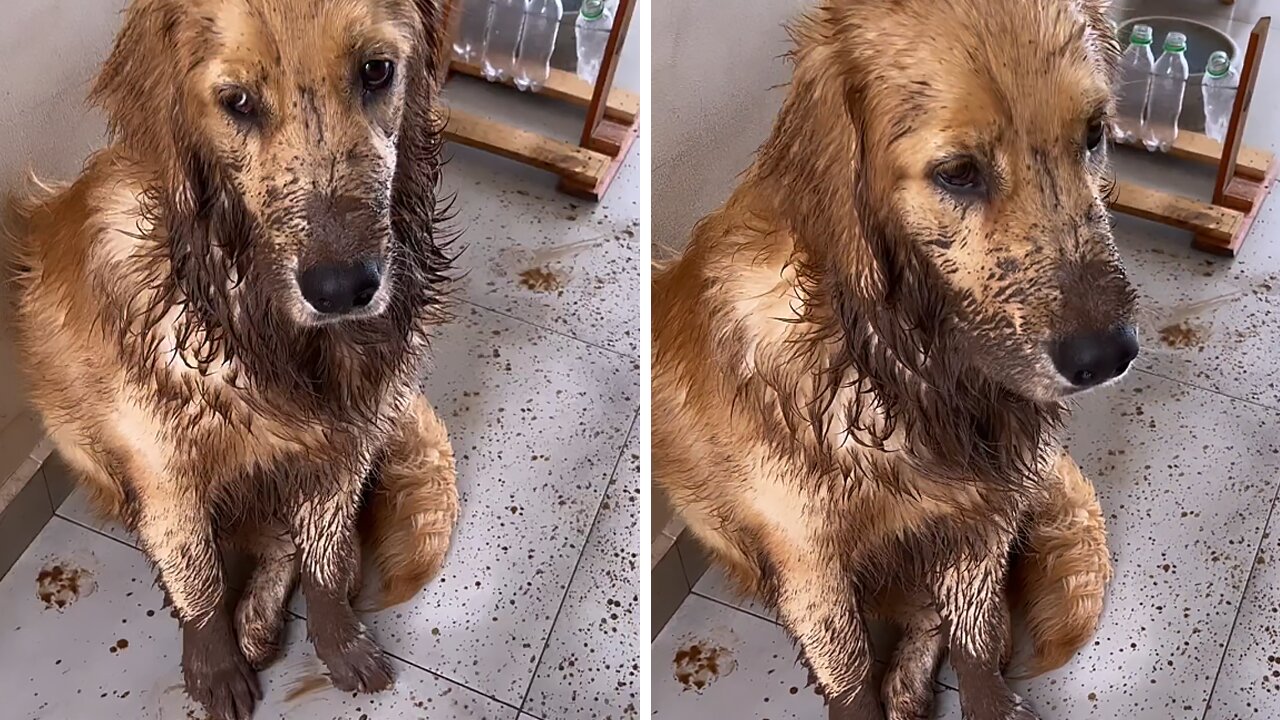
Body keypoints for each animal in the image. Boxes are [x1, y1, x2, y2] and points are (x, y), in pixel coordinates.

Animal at [8, 1, 460, 717]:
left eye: (377, 71)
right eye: (238, 102)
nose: (342, 290)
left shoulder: (347, 441)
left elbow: (325, 558)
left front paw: (339, 641)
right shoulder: (165, 470)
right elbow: (198, 574)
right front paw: (214, 664)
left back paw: (261, 618)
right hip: (79, 439)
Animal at [655, 1, 1136, 717]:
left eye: (1094, 134)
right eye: (957, 172)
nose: (1109, 356)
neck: (907, 368)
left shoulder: (982, 515)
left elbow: (976, 638)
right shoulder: (810, 563)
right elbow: (849, 673)